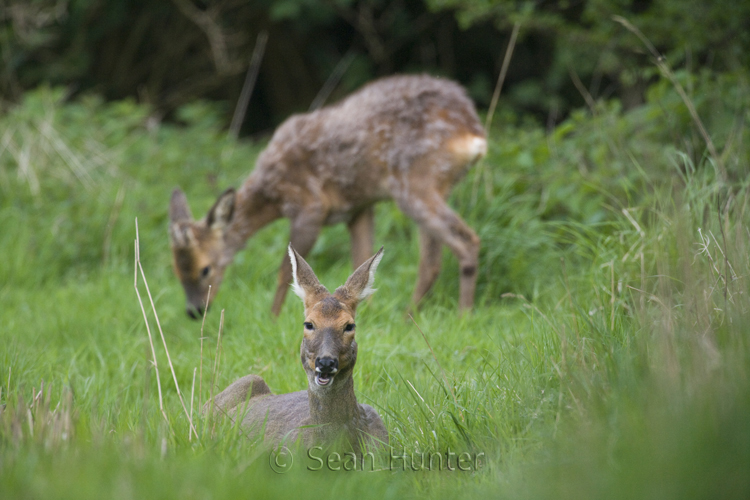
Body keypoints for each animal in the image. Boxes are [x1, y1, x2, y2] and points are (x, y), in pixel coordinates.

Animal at [170, 73, 488, 318]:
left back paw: (463, 316)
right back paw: (411, 317)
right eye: (176, 270)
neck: (272, 195)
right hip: (431, 185)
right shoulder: (358, 207)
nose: (194, 311)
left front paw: (273, 319)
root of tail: (472, 132)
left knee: (466, 241)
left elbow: (286, 272)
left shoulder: (309, 206)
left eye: (205, 269)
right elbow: (362, 262)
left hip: (414, 181)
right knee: (432, 261)